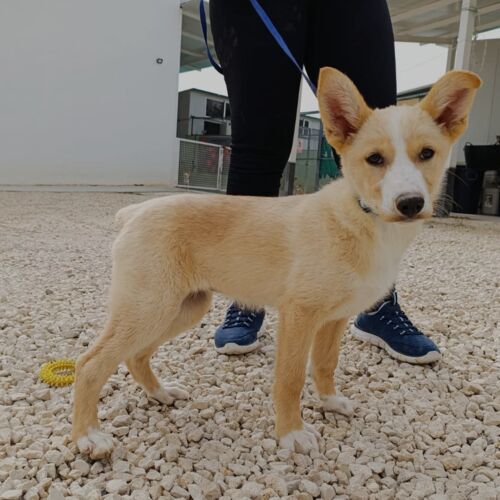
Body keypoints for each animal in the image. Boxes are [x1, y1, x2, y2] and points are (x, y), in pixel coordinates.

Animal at [72, 68, 480, 458]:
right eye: (375, 159)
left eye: (427, 154)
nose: (410, 203)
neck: (362, 218)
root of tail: (135, 211)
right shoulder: (300, 314)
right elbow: (290, 378)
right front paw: (291, 433)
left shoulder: (334, 318)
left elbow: (325, 364)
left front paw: (330, 402)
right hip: (149, 306)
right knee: (90, 363)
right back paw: (88, 436)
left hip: (182, 307)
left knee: (136, 354)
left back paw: (160, 394)